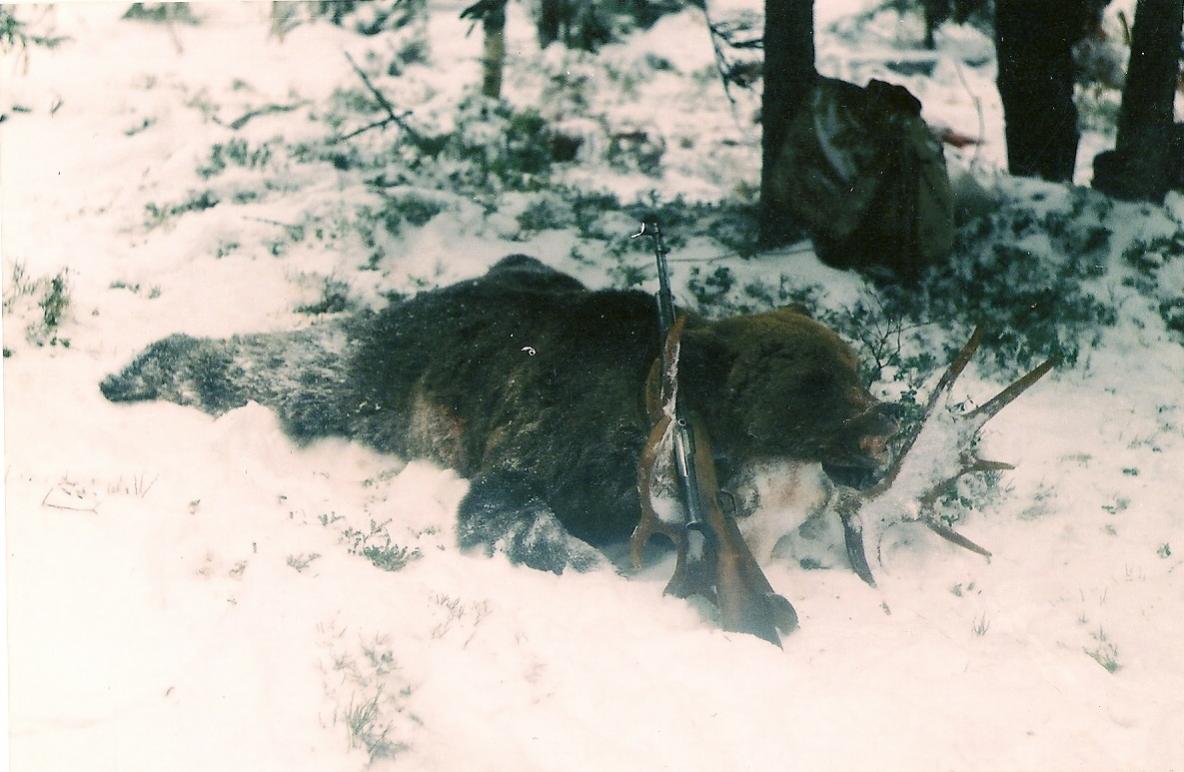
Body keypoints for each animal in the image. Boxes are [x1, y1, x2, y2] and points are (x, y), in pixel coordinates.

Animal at [101, 255, 890, 575]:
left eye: (855, 370)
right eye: (817, 382)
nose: (881, 425)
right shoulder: (564, 439)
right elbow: (507, 504)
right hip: (391, 373)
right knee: (298, 369)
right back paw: (136, 368)